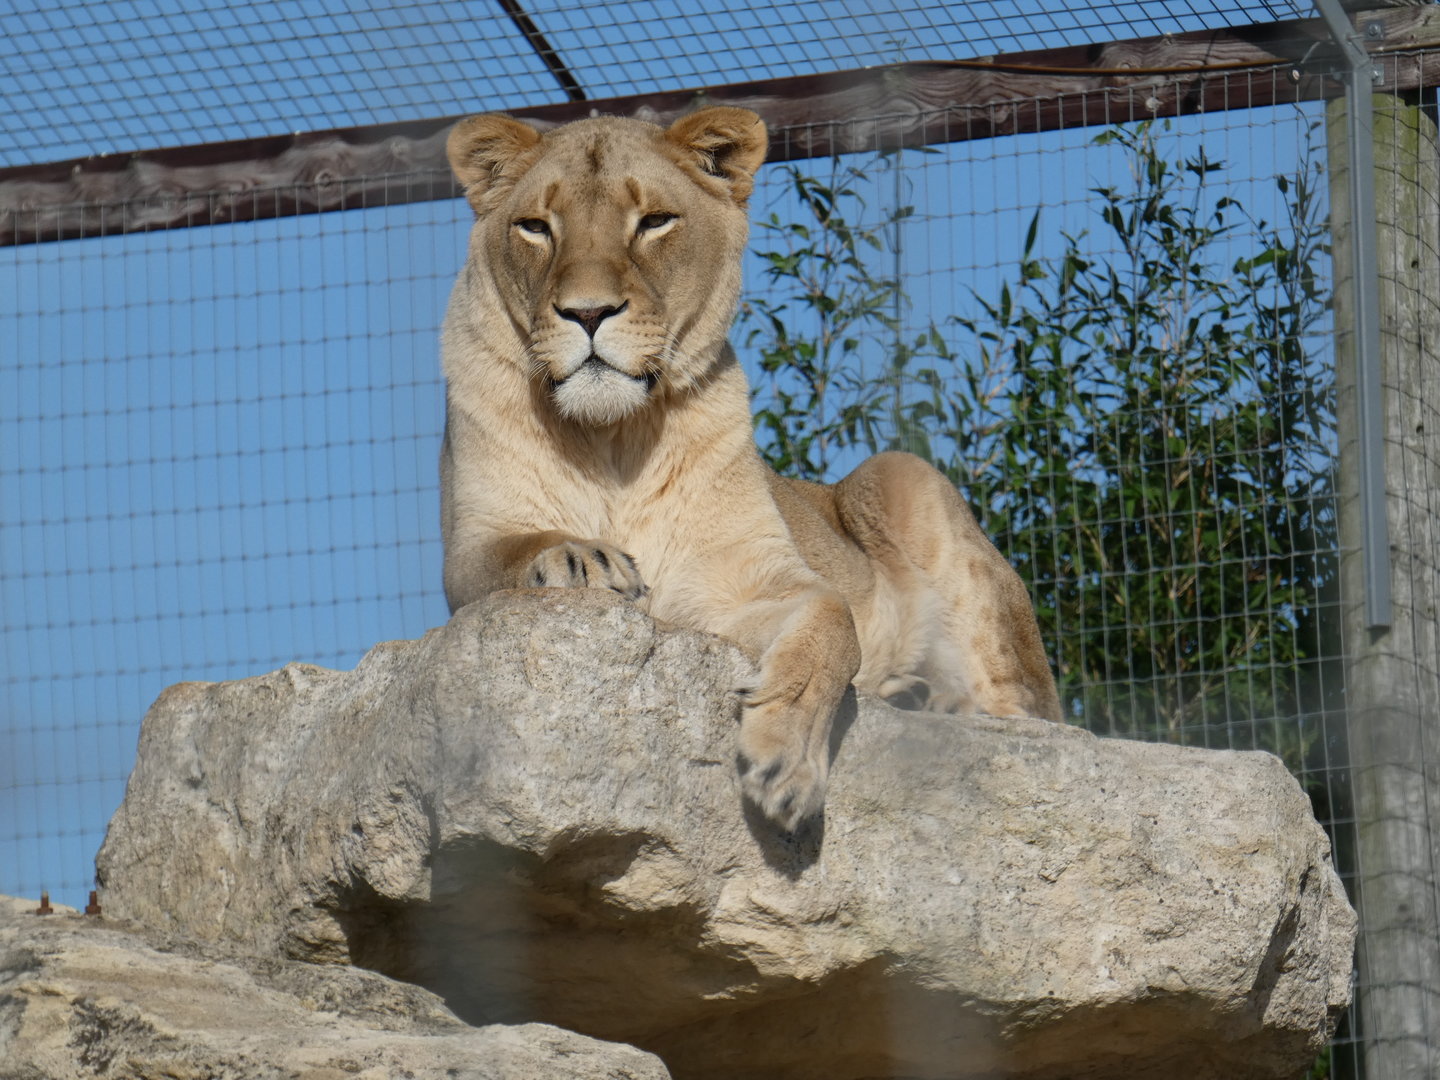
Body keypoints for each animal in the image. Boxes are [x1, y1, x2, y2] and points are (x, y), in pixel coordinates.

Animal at [440, 106, 1061, 831]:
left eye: (654, 221)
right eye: (536, 227)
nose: (587, 313)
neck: (614, 436)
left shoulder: (744, 583)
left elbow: (835, 626)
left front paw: (785, 764)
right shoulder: (472, 547)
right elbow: (512, 552)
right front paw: (580, 560)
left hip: (901, 476)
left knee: (1038, 724)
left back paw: (940, 705)